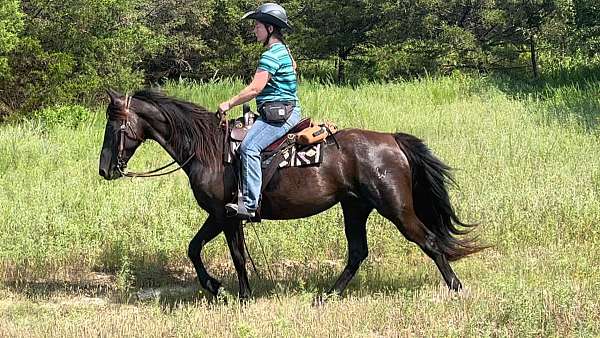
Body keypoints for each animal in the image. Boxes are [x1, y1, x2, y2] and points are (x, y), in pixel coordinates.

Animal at [98, 88, 482, 300]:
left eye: (114, 126)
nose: (105, 170)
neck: (208, 149)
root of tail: (391, 139)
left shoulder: (225, 214)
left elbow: (235, 256)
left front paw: (238, 295)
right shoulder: (220, 215)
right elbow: (195, 249)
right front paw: (217, 287)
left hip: (396, 208)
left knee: (428, 241)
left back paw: (457, 289)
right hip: (355, 207)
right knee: (358, 252)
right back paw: (327, 296)